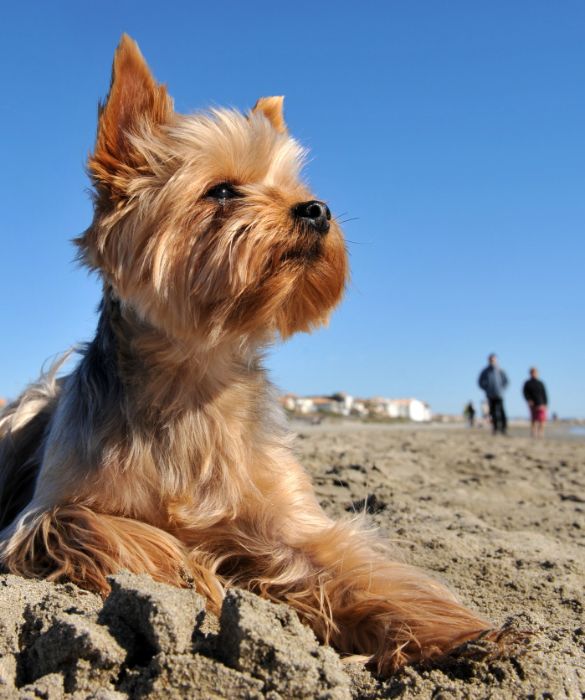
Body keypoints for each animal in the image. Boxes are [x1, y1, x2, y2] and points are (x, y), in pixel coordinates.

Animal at [0, 37, 492, 672]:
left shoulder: (290, 518)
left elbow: (352, 567)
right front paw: (195, 571)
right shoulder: (46, 514)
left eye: (296, 188)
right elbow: (103, 528)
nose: (316, 209)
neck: (194, 377)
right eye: (223, 190)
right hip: (23, 411)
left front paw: (457, 635)